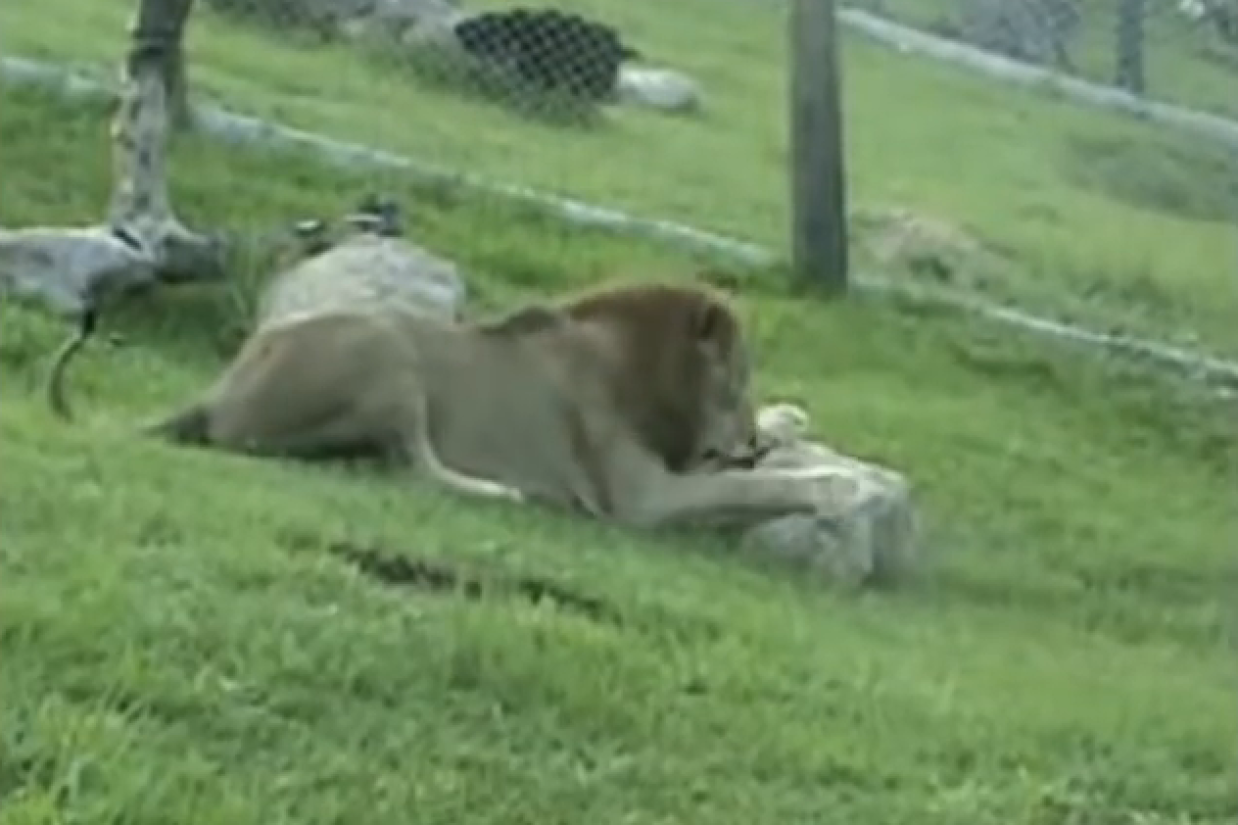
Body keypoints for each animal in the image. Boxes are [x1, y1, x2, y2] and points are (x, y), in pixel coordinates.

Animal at [49, 279, 849, 529]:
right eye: (736, 378)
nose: (746, 437)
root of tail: (217, 389)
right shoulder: (640, 496)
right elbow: (750, 487)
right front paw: (826, 485)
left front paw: (790, 423)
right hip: (388, 349)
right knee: (412, 465)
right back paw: (502, 491)